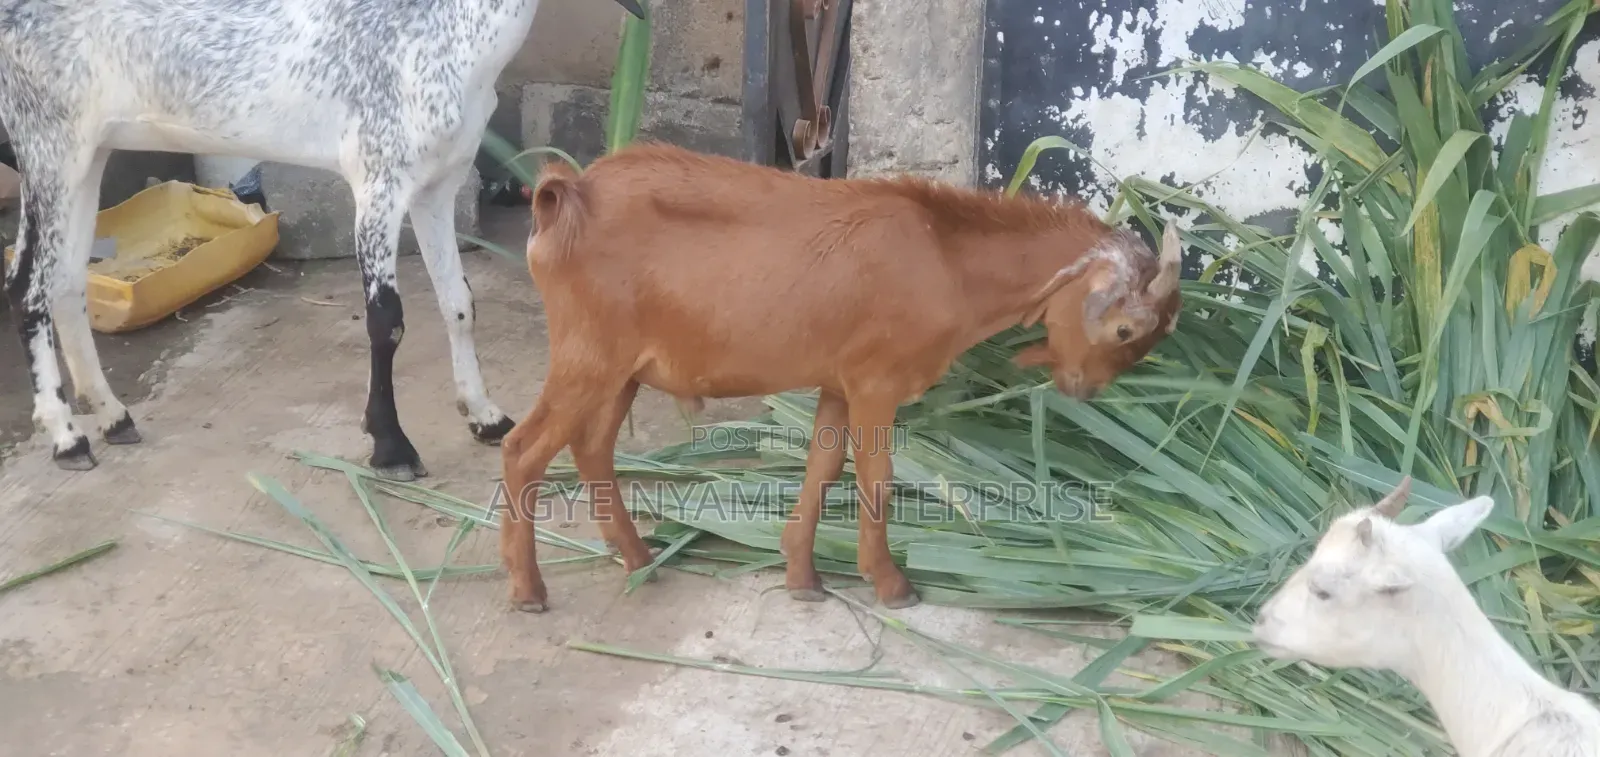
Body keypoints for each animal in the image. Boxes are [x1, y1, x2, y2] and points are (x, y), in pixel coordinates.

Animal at [0, 0, 642, 478]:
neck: (440, 25)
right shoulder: (378, 180)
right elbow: (386, 319)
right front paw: (391, 446)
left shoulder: (439, 183)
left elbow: (459, 303)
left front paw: (485, 416)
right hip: (47, 145)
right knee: (26, 285)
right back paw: (67, 438)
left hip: (92, 151)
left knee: (66, 282)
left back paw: (112, 416)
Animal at [496, 142, 1185, 612]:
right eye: (1126, 331)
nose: (1081, 389)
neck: (945, 256)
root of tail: (567, 197)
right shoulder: (877, 382)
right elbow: (875, 478)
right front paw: (892, 584)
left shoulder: (837, 380)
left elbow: (823, 468)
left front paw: (803, 578)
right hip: (588, 355)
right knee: (523, 449)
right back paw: (528, 589)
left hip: (623, 369)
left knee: (591, 446)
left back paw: (638, 557)